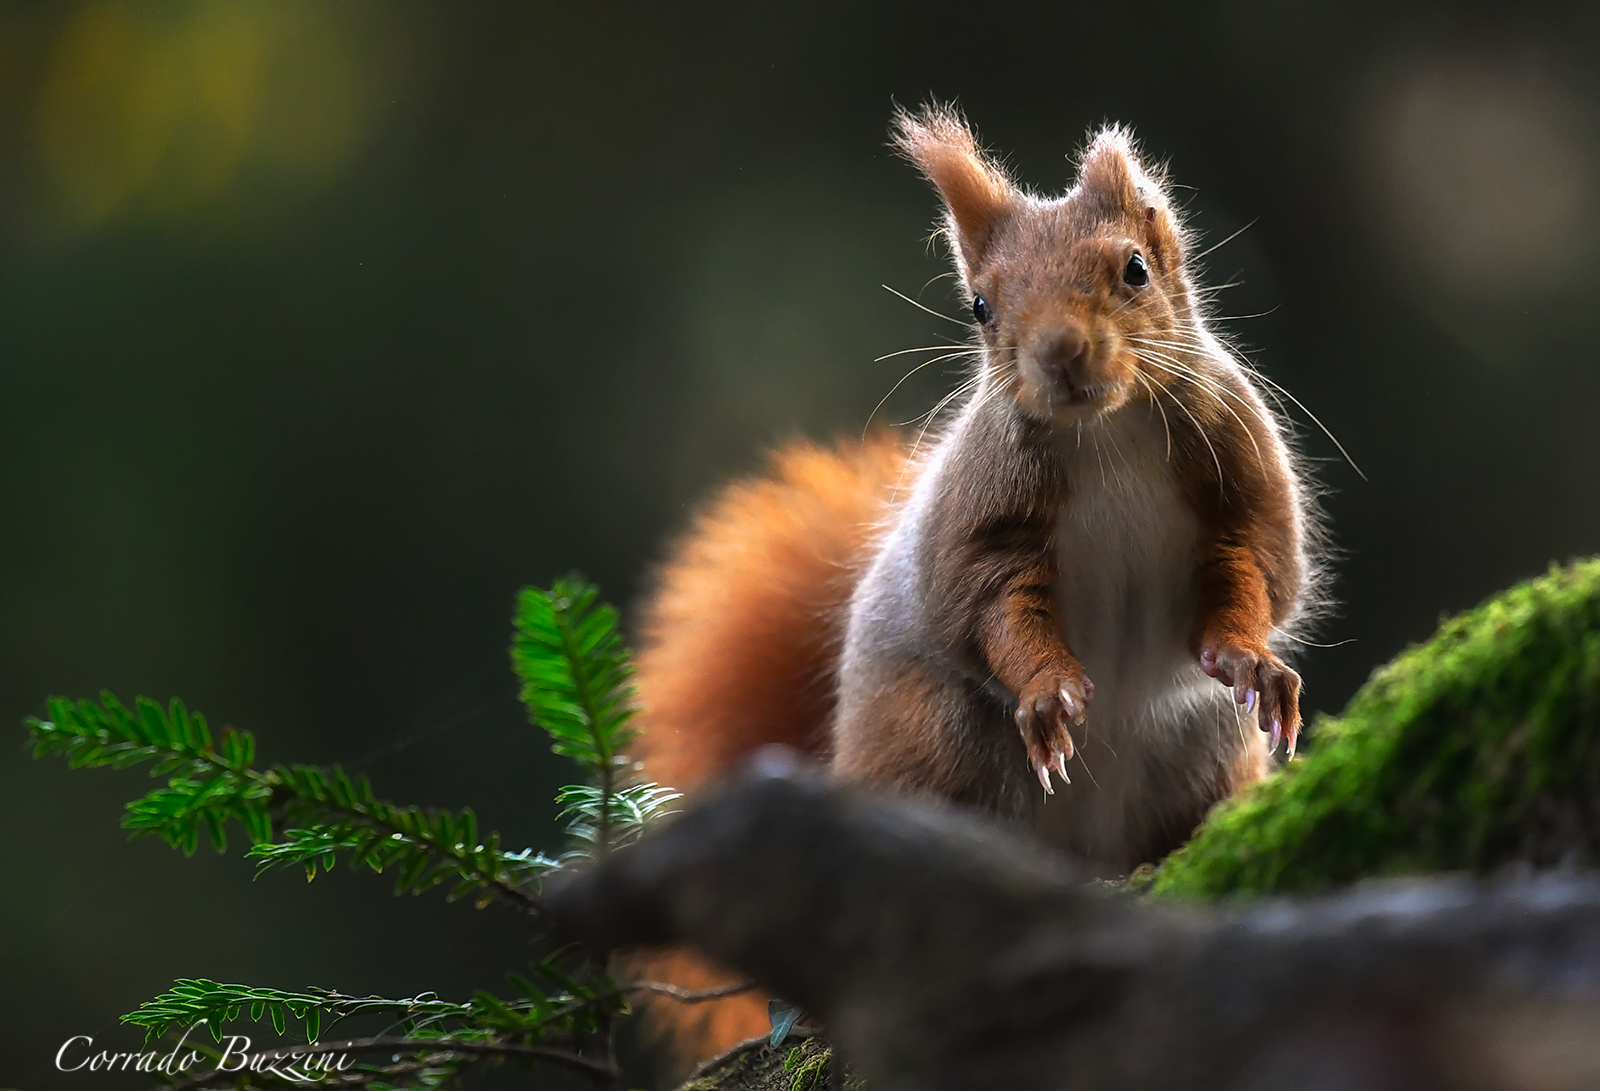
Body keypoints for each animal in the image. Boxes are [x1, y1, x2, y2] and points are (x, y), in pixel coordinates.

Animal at [627, 103, 1322, 1065]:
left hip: (1203, 753)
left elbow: (1253, 577)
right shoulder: (989, 532)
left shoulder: (1236, 486)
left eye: (1135, 269)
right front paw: (1049, 691)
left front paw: (1253, 660)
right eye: (981, 305)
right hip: (932, 747)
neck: (1106, 435)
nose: (1060, 354)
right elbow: (996, 611)